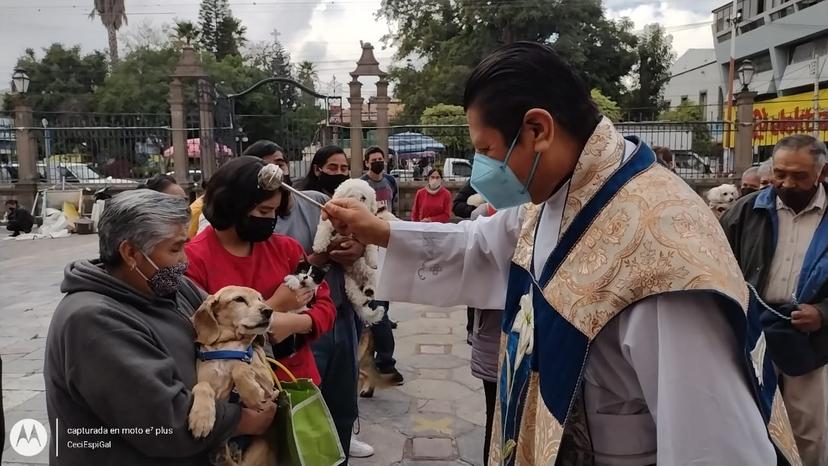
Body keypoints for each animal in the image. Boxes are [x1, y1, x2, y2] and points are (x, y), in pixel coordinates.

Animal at [314, 178, 384, 324]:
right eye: (350, 197)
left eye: (363, 198)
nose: (356, 208)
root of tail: (359, 278)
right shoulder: (330, 220)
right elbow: (324, 227)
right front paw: (319, 245)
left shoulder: (368, 229)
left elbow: (371, 245)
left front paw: (372, 259)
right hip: (346, 279)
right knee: (354, 294)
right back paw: (363, 298)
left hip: (371, 274)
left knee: (372, 281)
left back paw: (369, 290)